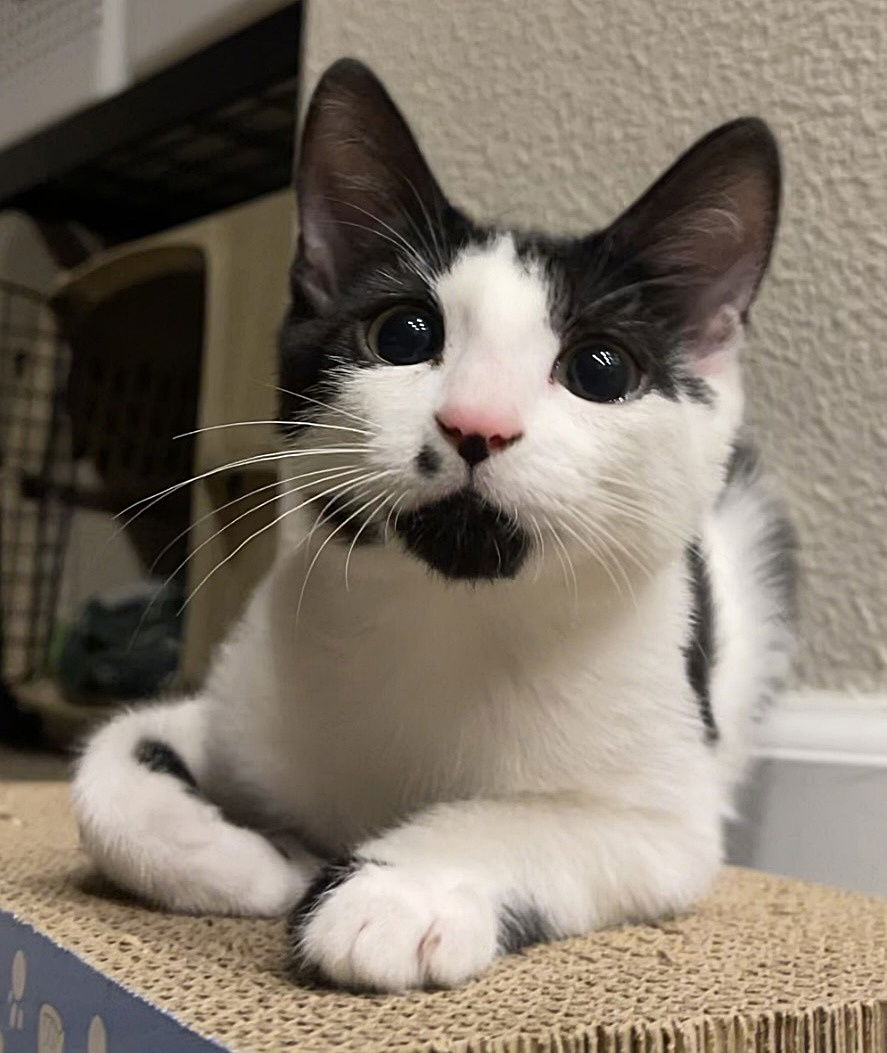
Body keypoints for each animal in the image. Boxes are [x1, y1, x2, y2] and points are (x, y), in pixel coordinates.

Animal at [74, 57, 796, 989]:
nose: (475, 424)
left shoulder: (666, 820)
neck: (450, 615)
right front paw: (243, 858)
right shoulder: (231, 712)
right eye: (404, 333)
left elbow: (535, 819)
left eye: (600, 370)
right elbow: (110, 763)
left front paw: (396, 891)